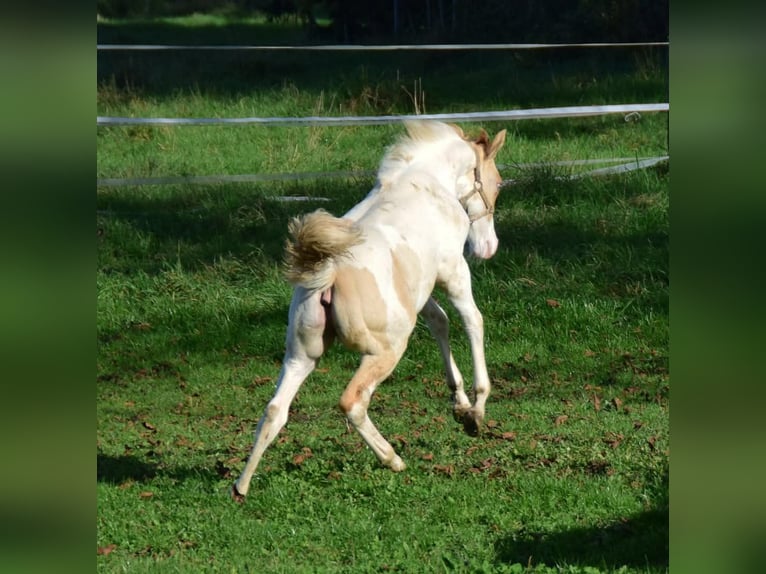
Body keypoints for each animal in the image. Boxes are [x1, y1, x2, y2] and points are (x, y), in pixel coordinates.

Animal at [234, 121, 510, 500]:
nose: (489, 247)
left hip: (301, 356)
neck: (426, 180)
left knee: (275, 410)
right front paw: (475, 412)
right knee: (352, 402)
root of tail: (327, 273)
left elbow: (439, 323)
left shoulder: (420, 290)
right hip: (385, 351)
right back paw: (393, 459)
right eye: (497, 183)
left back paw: (241, 486)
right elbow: (472, 322)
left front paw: (459, 402)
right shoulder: (453, 272)